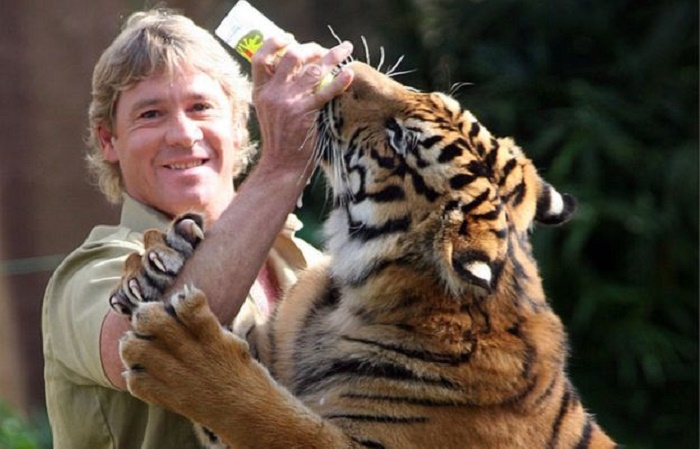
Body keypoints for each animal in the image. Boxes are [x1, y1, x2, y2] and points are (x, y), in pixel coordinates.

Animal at [111, 60, 617, 449]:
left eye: (399, 140)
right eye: (434, 96)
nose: (347, 68)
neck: (355, 294)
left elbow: (278, 421)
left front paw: (181, 351)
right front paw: (160, 257)